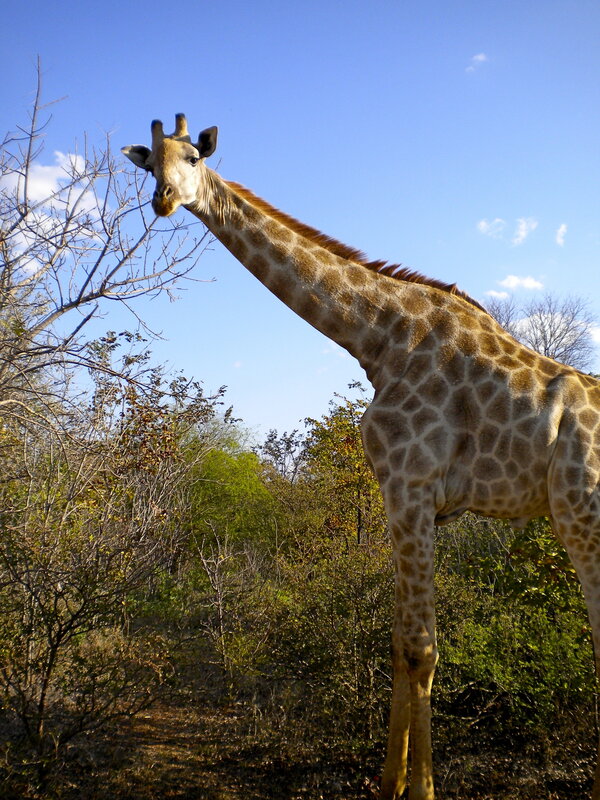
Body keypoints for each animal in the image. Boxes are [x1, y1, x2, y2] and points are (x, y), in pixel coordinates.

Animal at [123, 114, 600, 800]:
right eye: (147, 164)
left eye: (192, 157)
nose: (163, 200)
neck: (377, 339)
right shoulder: (402, 497)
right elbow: (398, 641)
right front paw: (389, 784)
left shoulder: (412, 486)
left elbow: (421, 646)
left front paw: (420, 790)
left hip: (580, 517)